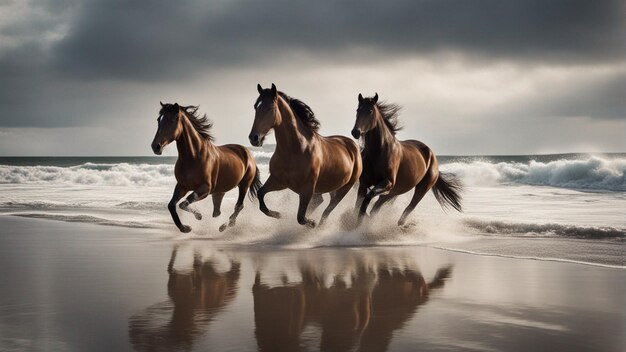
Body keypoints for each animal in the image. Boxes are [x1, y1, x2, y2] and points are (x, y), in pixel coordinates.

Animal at [151, 102, 260, 232]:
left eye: (172, 120)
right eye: (159, 120)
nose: (155, 146)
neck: (193, 157)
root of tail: (248, 153)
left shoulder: (206, 188)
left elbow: (184, 203)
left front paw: (198, 216)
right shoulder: (182, 186)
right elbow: (172, 205)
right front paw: (185, 228)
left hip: (244, 184)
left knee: (239, 206)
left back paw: (224, 226)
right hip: (220, 191)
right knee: (217, 211)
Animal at [246, 84, 358, 228]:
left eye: (270, 107)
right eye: (256, 107)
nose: (254, 138)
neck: (294, 150)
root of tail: (352, 145)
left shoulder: (307, 188)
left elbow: (301, 217)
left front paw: (311, 222)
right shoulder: (278, 181)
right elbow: (261, 195)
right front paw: (279, 214)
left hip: (346, 187)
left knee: (328, 209)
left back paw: (319, 226)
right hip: (331, 187)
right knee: (322, 202)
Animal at [348, 93, 460, 226]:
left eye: (370, 111)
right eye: (357, 110)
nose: (356, 132)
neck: (379, 151)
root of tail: (432, 155)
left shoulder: (388, 182)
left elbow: (368, 197)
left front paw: (359, 222)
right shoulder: (364, 183)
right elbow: (359, 203)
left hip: (421, 189)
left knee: (409, 208)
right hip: (393, 192)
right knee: (377, 207)